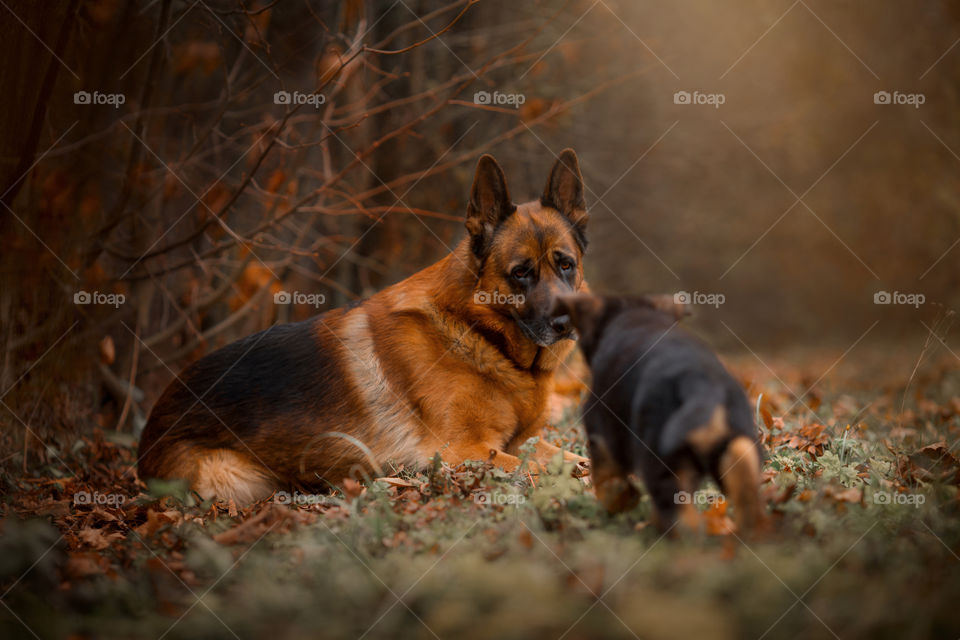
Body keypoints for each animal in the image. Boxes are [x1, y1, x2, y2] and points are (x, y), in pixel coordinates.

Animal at [138, 151, 588, 504]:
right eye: (520, 273)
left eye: (566, 264)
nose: (567, 323)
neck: (480, 332)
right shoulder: (466, 451)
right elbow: (545, 471)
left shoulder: (525, 442)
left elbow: (576, 460)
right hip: (236, 479)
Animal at [552, 296, 760, 536]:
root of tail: (700, 382)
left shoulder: (601, 432)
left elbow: (609, 480)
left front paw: (619, 503)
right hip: (736, 441)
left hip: (662, 463)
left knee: (681, 515)